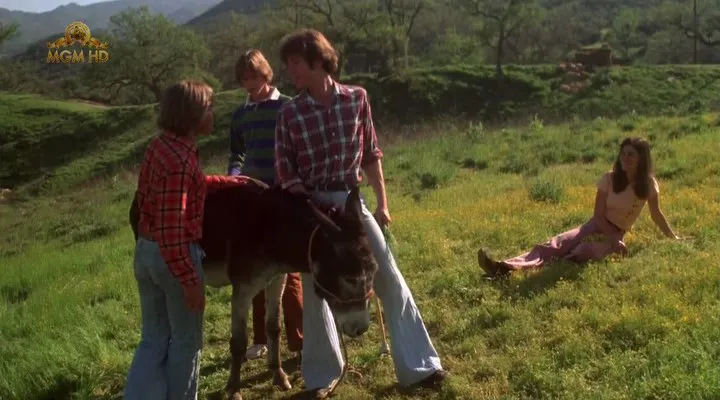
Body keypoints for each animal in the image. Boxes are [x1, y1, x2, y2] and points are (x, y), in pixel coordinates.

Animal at [129, 181, 379, 400]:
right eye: (349, 278)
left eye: (374, 270)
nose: (361, 328)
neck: (271, 230)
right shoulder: (242, 289)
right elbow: (239, 341)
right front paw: (234, 389)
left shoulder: (276, 279)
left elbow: (274, 327)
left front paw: (278, 376)